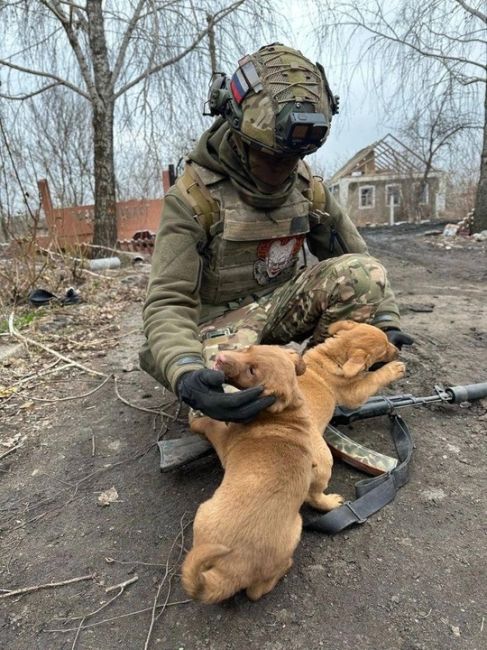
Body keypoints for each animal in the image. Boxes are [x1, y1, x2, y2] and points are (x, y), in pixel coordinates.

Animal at [180, 344, 344, 604]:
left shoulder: (224, 440)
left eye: (252, 371)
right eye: (250, 348)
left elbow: (211, 424)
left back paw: (286, 566)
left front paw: (199, 418)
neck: (285, 413)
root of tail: (231, 570)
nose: (221, 356)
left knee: (255, 592)